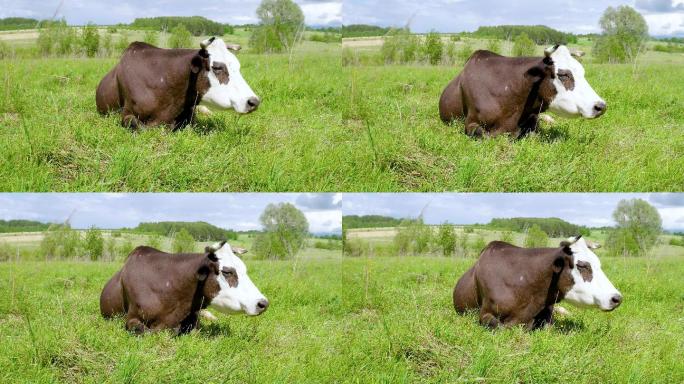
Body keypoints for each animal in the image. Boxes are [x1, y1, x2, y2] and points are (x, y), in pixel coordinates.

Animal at [95, 37, 258, 130]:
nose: (254, 101)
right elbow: (140, 127)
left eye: (238, 66)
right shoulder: (127, 113)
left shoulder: (190, 113)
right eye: (217, 67)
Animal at [438, 45, 604, 138]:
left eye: (583, 72)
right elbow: (484, 135)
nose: (601, 106)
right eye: (563, 75)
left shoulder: (532, 118)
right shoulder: (471, 123)